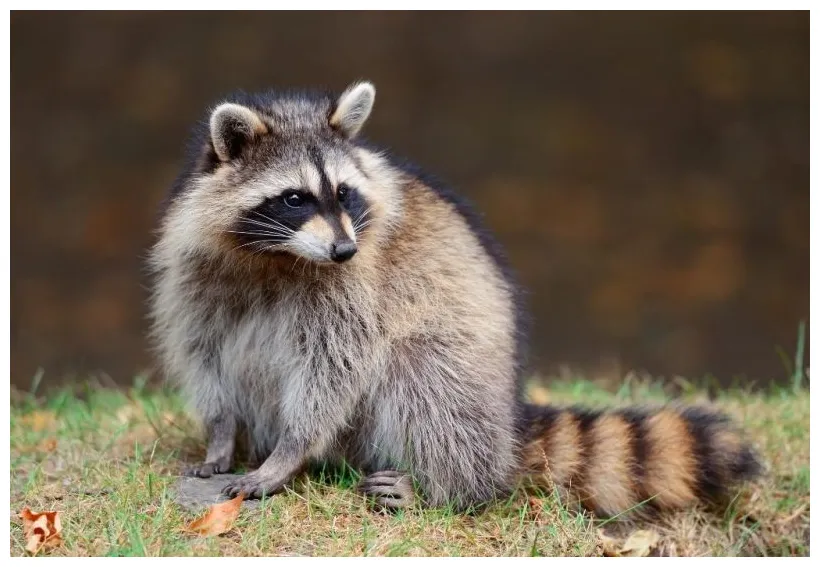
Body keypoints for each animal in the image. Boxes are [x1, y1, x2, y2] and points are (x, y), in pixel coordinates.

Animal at [148, 80, 763, 515]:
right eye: (294, 198)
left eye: (344, 193)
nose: (344, 248)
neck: (277, 256)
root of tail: (509, 419)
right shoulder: (196, 272)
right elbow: (204, 352)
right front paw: (220, 434)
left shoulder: (355, 288)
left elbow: (334, 368)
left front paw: (290, 452)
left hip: (465, 370)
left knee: (425, 378)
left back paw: (448, 487)